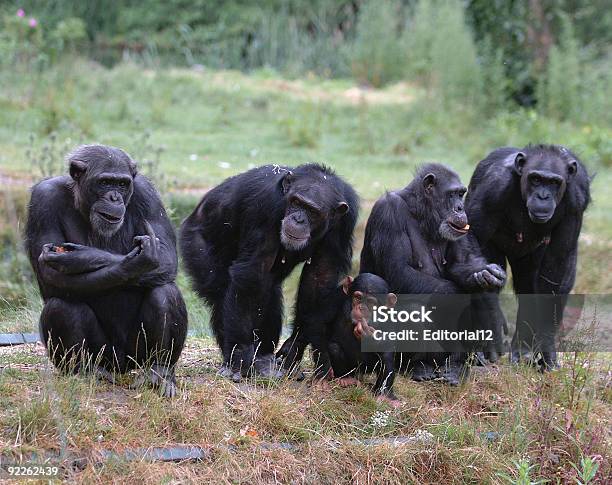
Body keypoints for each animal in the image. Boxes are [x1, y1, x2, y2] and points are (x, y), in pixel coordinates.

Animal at [25, 144, 186, 398]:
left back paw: (158, 372)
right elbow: (52, 276)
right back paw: (85, 371)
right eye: (105, 182)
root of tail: (121, 367)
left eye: (122, 184)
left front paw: (82, 257)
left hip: (134, 357)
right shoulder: (43, 199)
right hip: (104, 355)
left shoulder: (147, 193)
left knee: (165, 292)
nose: (114, 197)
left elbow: (166, 257)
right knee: (61, 306)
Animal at [179, 164, 356, 380]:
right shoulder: (265, 205)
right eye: (296, 202)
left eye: (312, 211)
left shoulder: (345, 222)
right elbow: (252, 271)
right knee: (223, 292)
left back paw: (263, 358)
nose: (298, 219)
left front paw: (293, 347)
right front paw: (240, 358)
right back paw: (233, 360)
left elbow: (319, 277)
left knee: (269, 291)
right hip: (195, 243)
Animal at [328, 272, 400, 404]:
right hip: (354, 369)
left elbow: (388, 343)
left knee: (386, 356)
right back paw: (346, 379)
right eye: (358, 298)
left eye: (371, 303)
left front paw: (367, 335)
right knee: (334, 347)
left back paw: (385, 394)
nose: (361, 308)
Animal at [358, 164, 506, 384]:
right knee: (414, 310)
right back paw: (417, 367)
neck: (420, 214)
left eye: (461, 194)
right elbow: (399, 271)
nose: (460, 208)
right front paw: (481, 305)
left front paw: (487, 281)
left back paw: (456, 367)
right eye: (451, 194)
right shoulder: (388, 212)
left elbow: (462, 262)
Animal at [466, 143, 592, 366]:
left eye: (554, 182)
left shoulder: (577, 200)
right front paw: (491, 323)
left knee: (535, 284)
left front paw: (547, 347)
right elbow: (473, 239)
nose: (543, 196)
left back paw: (522, 349)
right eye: (535, 179)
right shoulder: (493, 188)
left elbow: (555, 265)